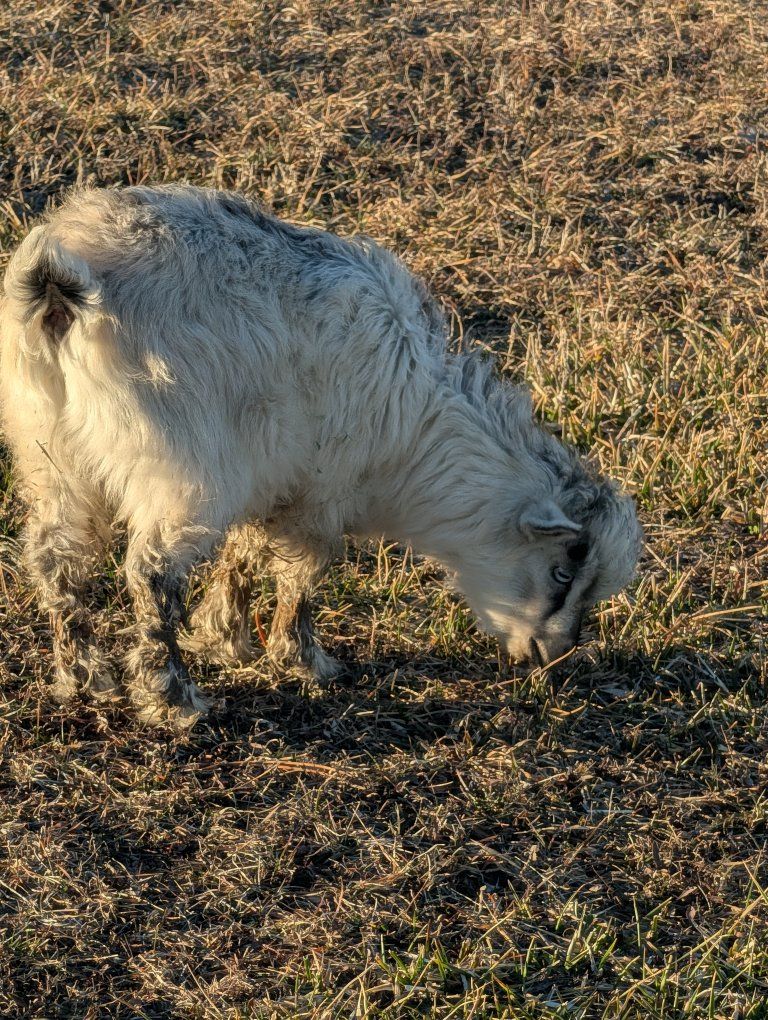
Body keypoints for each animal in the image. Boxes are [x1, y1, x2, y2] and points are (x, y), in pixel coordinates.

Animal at [1, 185, 643, 726]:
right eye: (562, 571)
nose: (553, 655)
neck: (415, 424)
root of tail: (61, 284)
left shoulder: (274, 476)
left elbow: (245, 552)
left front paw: (225, 636)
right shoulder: (320, 492)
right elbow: (300, 573)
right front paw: (305, 660)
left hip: (51, 455)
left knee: (55, 557)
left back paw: (84, 677)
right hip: (182, 471)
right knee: (151, 573)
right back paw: (171, 697)